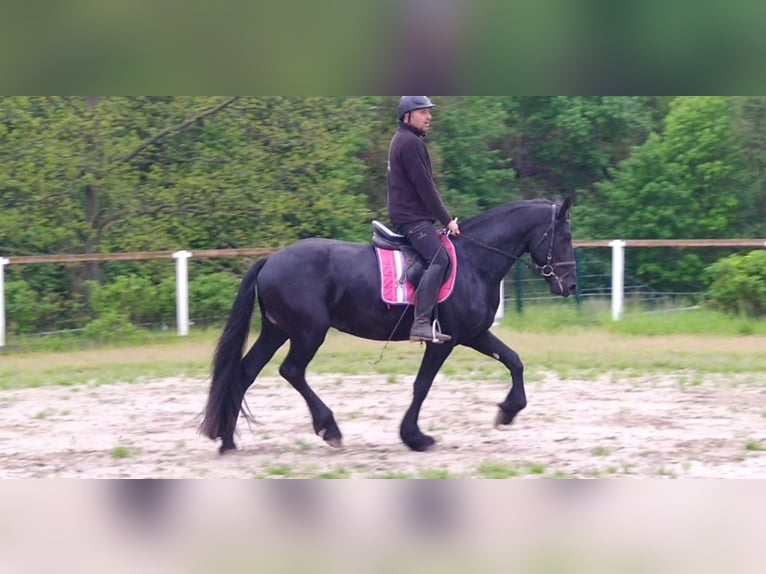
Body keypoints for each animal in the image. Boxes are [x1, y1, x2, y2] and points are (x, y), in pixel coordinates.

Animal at [201, 198, 577, 453]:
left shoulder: (474, 334)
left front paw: (508, 412)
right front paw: (415, 437)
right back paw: (329, 428)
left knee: (245, 372)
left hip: (277, 331)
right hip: (308, 332)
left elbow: (514, 360)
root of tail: (270, 260)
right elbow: (422, 385)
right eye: (564, 236)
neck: (475, 261)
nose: (570, 285)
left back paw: (228, 441)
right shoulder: (444, 340)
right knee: (291, 371)